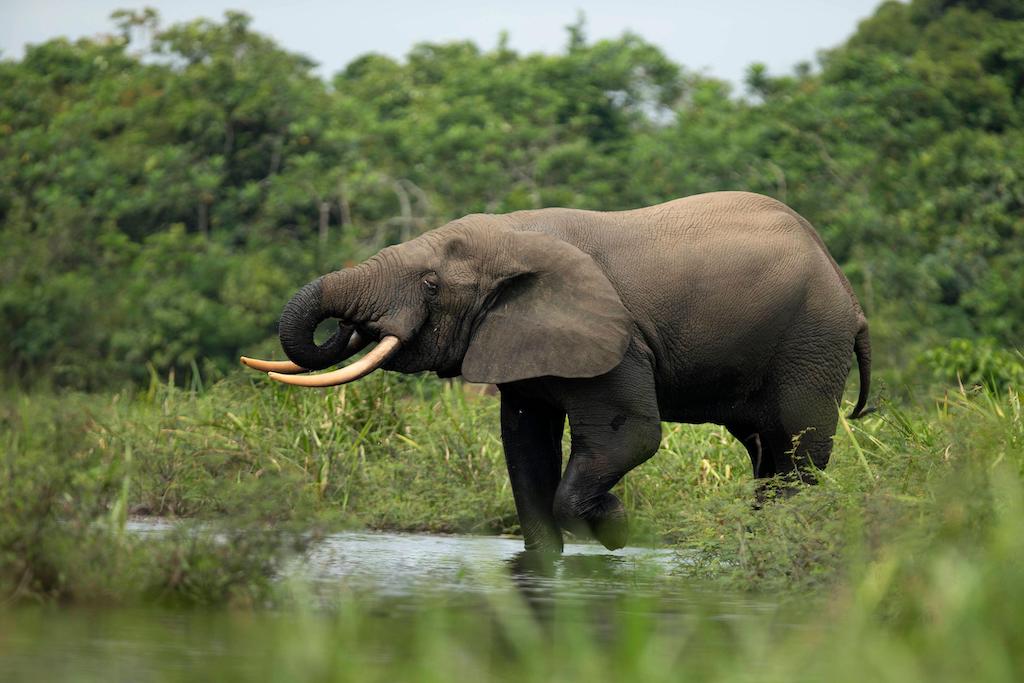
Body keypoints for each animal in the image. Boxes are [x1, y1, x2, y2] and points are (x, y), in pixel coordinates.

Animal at [241, 192, 872, 557]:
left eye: (430, 284)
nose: (353, 326)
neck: (512, 236)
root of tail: (848, 290)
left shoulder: (614, 338)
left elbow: (631, 436)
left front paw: (616, 529)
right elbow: (524, 448)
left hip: (812, 341)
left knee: (798, 450)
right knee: (765, 450)